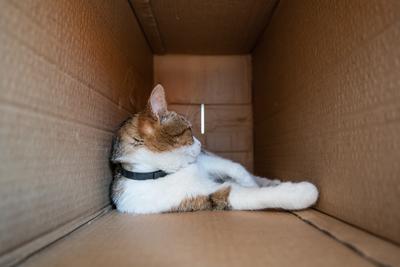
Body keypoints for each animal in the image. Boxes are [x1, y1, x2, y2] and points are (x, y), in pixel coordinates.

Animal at [110, 85, 318, 215]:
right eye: (189, 130)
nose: (201, 144)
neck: (162, 172)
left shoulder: (205, 161)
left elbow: (236, 167)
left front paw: (250, 182)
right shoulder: (203, 196)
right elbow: (250, 195)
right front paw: (303, 193)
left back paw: (267, 180)